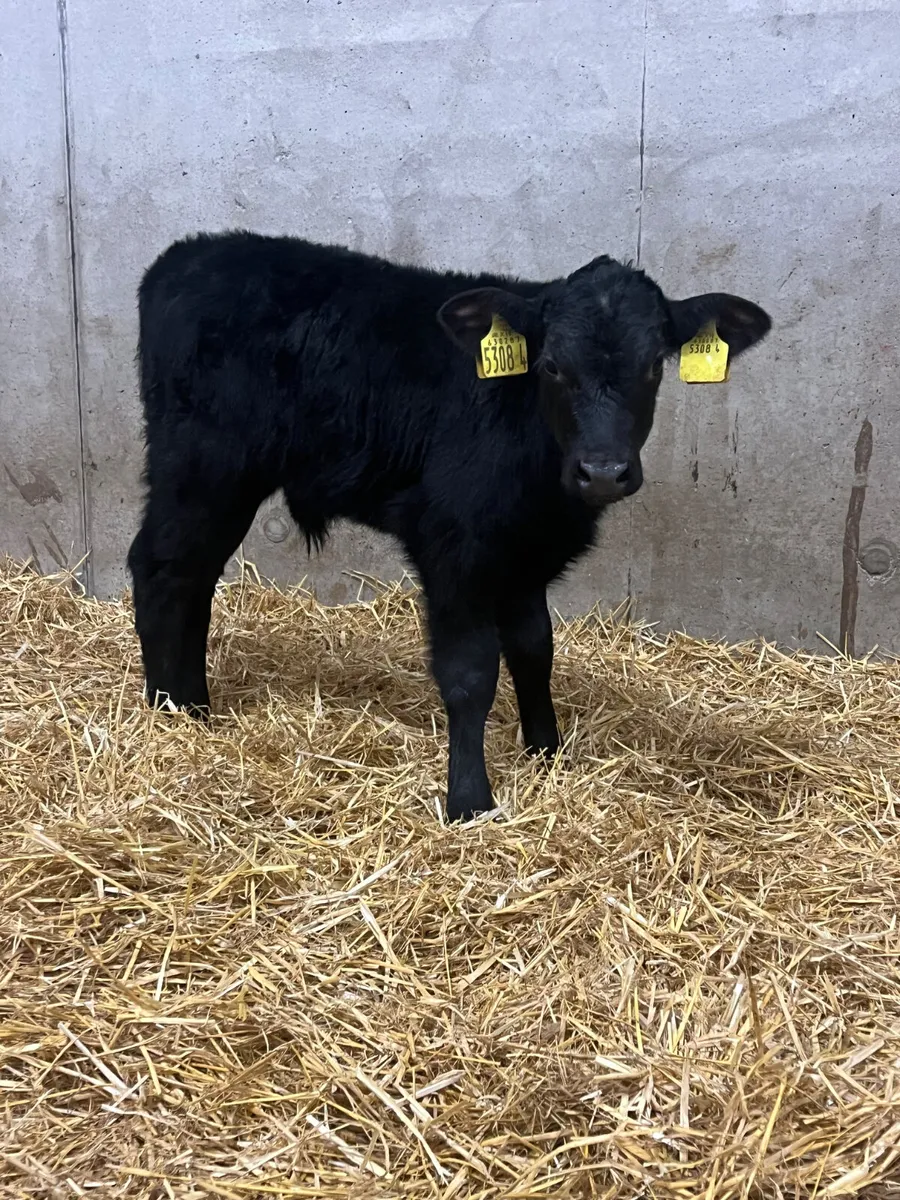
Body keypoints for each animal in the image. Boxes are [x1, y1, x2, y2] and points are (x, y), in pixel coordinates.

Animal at [128, 232, 771, 822]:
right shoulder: (454, 548)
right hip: (202, 466)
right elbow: (469, 674)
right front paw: (469, 800)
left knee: (193, 578)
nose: (604, 472)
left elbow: (535, 649)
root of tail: (187, 254)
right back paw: (168, 711)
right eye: (552, 365)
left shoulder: (525, 552)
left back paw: (194, 707)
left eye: (653, 366)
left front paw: (547, 754)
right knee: (160, 568)